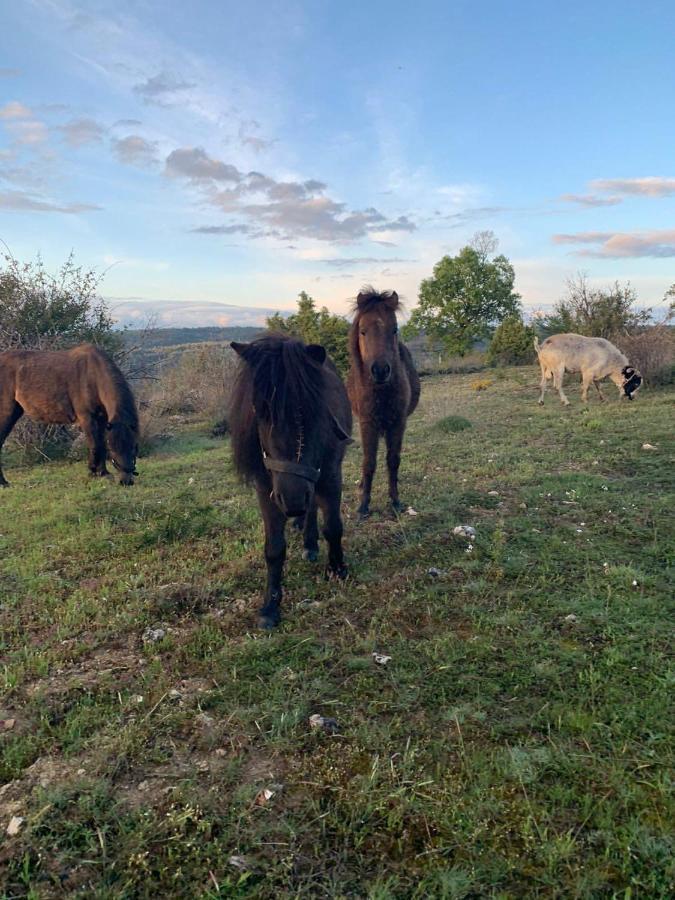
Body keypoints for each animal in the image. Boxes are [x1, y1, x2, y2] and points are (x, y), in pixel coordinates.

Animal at [0, 342, 140, 486]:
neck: (93, 375)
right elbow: (94, 445)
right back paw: (3, 482)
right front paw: (94, 472)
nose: (126, 481)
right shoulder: (87, 418)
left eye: (134, 446)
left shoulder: (102, 419)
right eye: (112, 449)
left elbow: (100, 443)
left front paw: (102, 472)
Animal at [228, 334, 352, 628]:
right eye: (258, 410)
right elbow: (274, 548)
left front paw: (337, 569)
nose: (293, 499)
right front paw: (270, 606)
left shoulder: (330, 475)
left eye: (312, 409)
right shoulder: (267, 489)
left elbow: (333, 526)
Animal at [352, 284, 420, 516]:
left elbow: (393, 460)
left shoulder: (398, 422)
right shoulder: (367, 423)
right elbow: (368, 462)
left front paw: (395, 501)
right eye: (362, 331)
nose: (381, 370)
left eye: (395, 329)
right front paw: (363, 505)